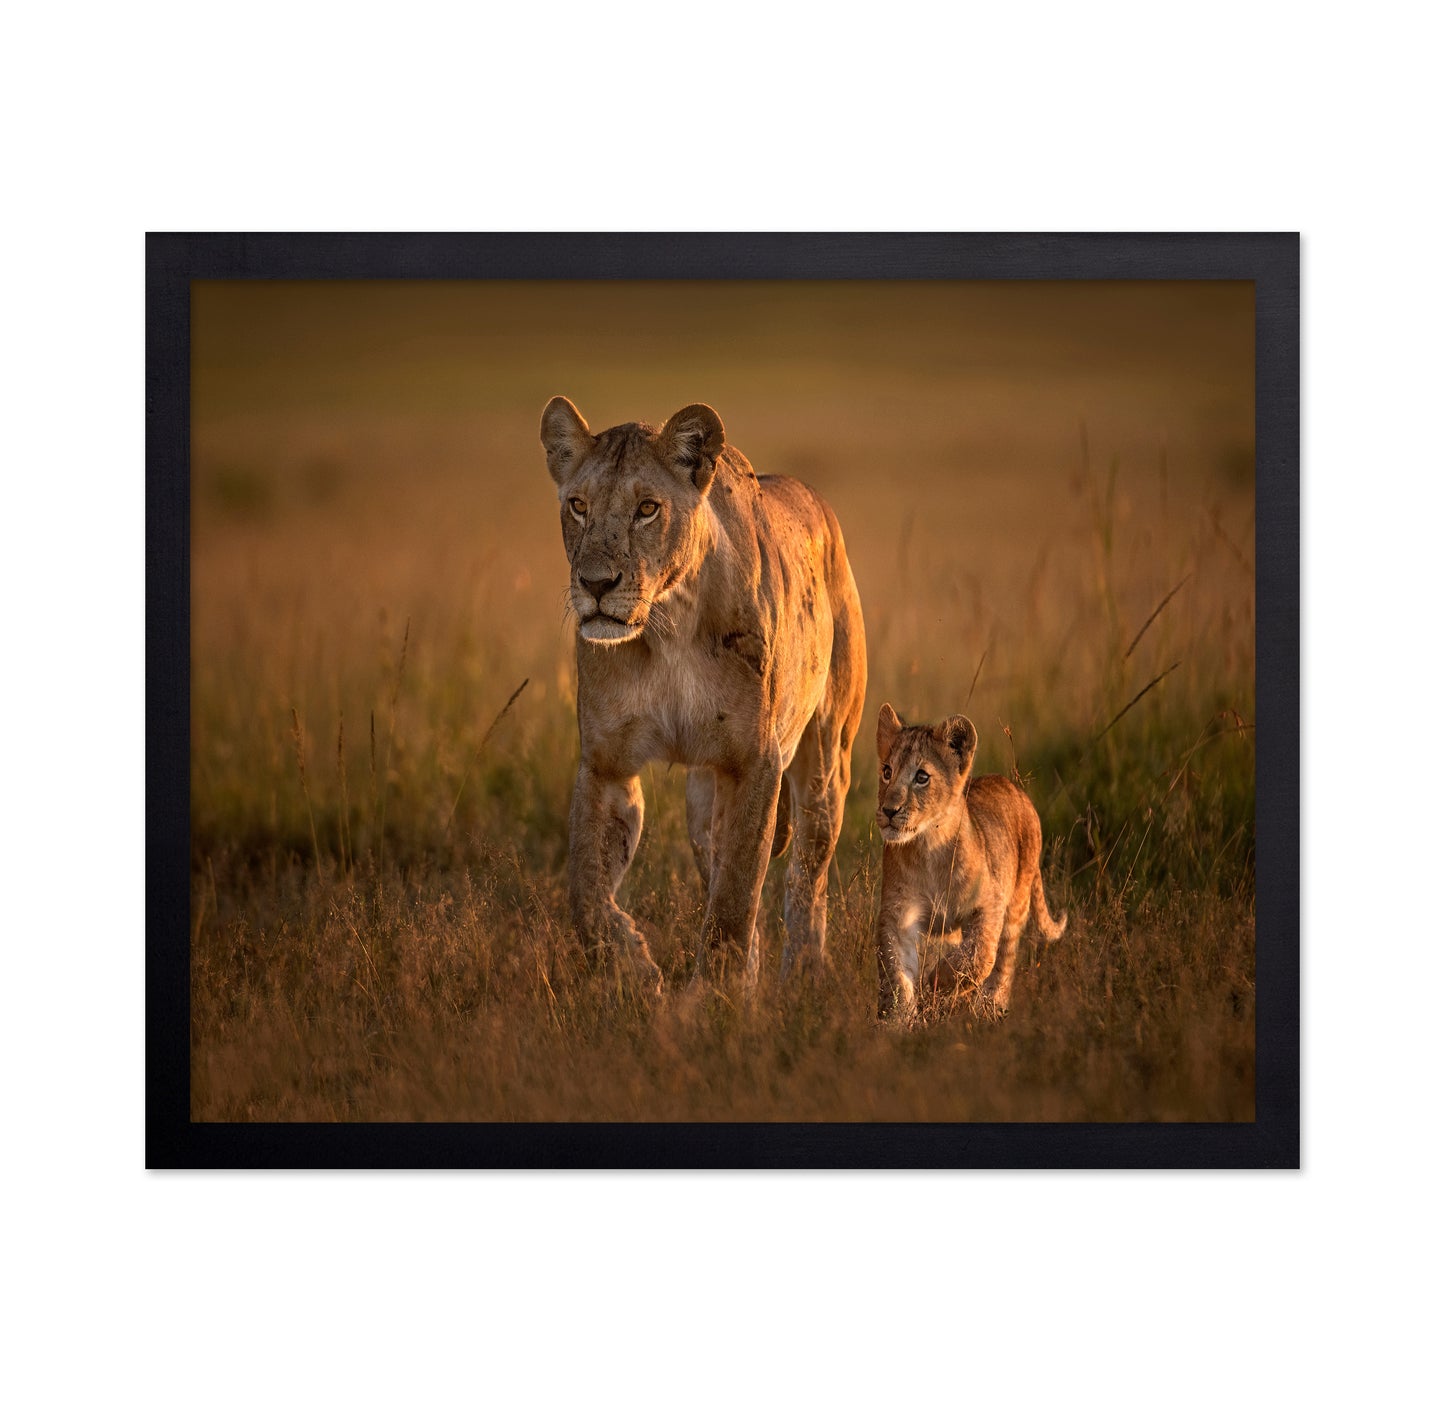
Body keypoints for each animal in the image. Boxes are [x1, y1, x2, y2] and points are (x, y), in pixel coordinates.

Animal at [540, 396, 867, 988]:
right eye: (577, 506)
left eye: (647, 509)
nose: (595, 584)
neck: (667, 625)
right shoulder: (605, 764)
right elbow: (587, 894)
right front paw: (636, 970)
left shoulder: (754, 762)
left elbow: (735, 898)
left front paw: (715, 997)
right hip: (701, 801)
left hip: (827, 759)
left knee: (808, 876)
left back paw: (804, 975)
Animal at [872, 703, 1066, 1021]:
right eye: (887, 771)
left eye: (922, 777)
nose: (889, 810)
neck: (929, 846)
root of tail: (1014, 787)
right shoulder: (898, 914)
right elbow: (896, 974)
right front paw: (896, 1020)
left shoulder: (990, 902)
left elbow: (980, 954)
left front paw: (936, 983)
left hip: (1017, 901)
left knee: (1004, 961)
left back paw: (990, 1007)